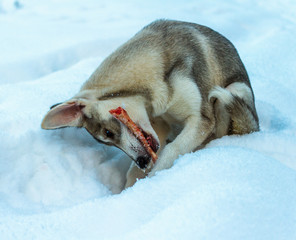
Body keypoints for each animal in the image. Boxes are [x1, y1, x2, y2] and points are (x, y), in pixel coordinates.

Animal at [41, 19, 260, 188]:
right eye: (108, 139)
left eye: (108, 133)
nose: (142, 161)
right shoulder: (158, 126)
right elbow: (134, 172)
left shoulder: (201, 119)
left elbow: (170, 152)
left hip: (233, 92)